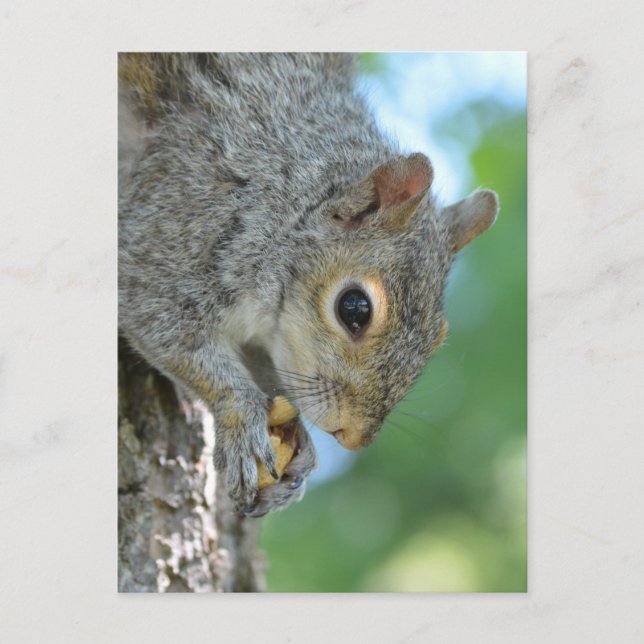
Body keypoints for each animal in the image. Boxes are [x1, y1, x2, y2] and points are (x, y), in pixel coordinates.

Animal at [118, 53, 499, 517]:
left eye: (438, 336)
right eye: (354, 308)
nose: (355, 438)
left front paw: (298, 443)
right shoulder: (172, 226)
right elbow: (167, 331)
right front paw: (241, 419)